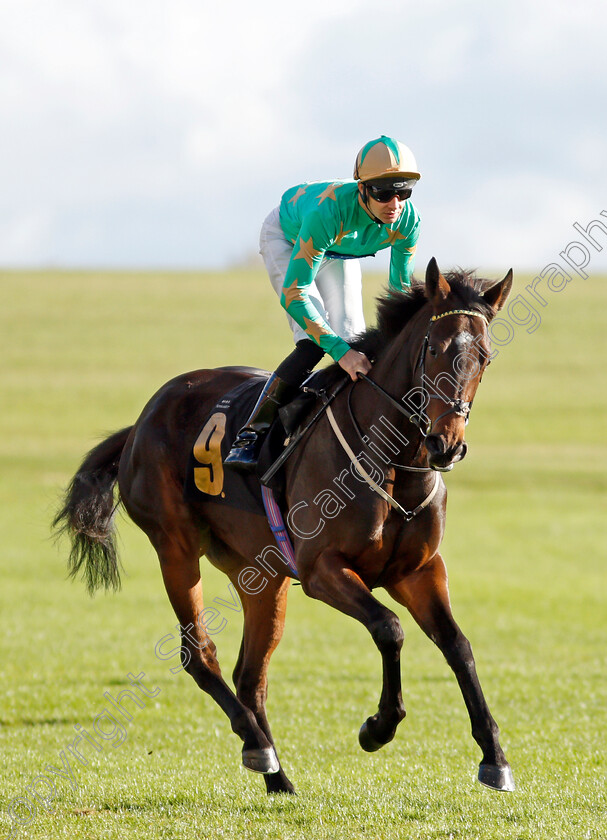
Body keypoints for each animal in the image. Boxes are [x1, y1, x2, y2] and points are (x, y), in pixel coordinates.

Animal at [54, 260, 516, 796]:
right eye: (435, 348)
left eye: (484, 356)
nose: (446, 444)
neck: (393, 461)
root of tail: (140, 424)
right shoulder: (321, 571)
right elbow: (389, 628)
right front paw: (377, 727)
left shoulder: (418, 571)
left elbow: (458, 646)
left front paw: (494, 757)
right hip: (176, 548)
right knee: (200, 654)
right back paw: (257, 745)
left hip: (261, 575)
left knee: (250, 674)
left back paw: (277, 774)